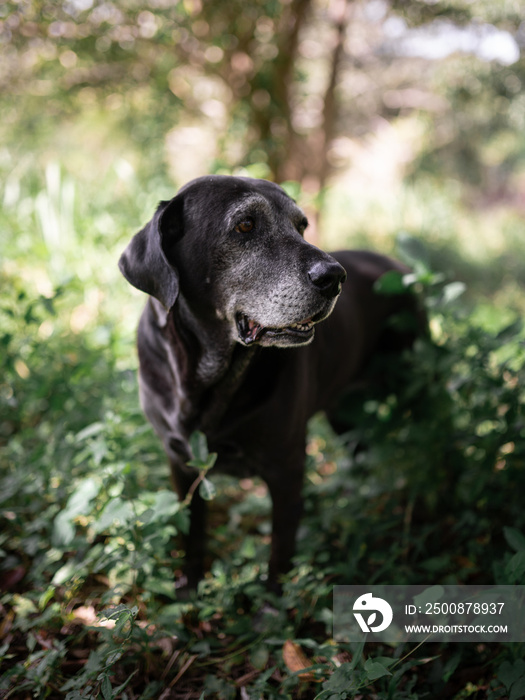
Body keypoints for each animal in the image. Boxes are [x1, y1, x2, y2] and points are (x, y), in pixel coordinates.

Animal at [117, 174, 418, 584]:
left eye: (301, 226)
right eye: (245, 225)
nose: (334, 277)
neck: (206, 378)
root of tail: (396, 264)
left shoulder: (287, 468)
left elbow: (280, 555)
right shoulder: (180, 464)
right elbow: (191, 536)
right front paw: (187, 588)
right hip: (343, 412)